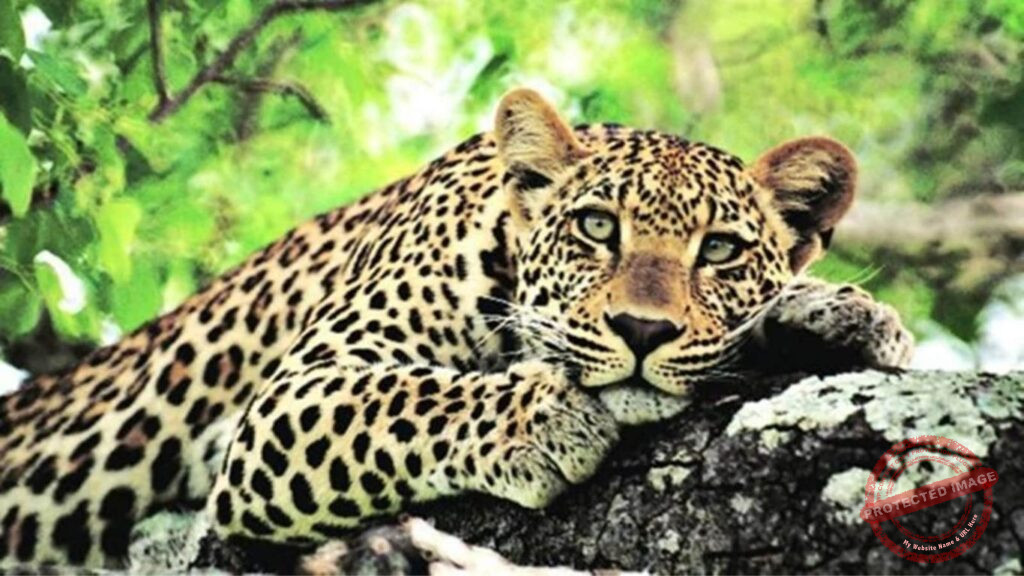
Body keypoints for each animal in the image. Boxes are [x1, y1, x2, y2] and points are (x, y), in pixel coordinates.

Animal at [0, 89, 912, 570]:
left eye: (719, 249)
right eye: (595, 228)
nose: (642, 330)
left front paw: (842, 314)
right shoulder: (292, 397)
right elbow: (402, 398)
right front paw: (540, 420)